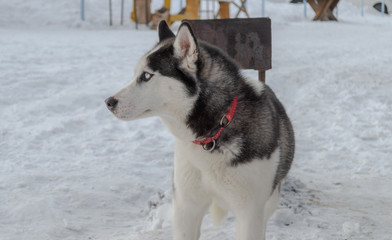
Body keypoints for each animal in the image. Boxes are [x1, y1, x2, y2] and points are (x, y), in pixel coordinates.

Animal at [104, 21, 294, 240]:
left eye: (146, 75)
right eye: (136, 74)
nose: (109, 102)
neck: (214, 132)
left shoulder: (250, 212)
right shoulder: (186, 207)